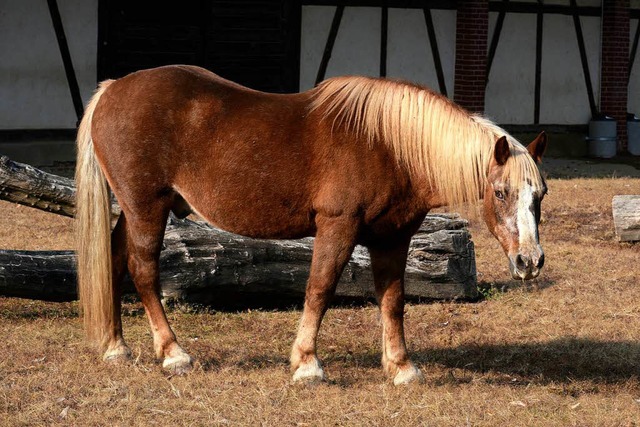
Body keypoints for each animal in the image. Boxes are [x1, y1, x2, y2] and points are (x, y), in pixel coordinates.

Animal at [75, 64, 544, 388]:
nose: (530, 261)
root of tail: (114, 88)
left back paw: (116, 347)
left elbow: (392, 301)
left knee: (113, 261)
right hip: (146, 209)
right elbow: (319, 289)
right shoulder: (338, 228)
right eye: (500, 192)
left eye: (539, 195)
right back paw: (173, 353)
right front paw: (307, 364)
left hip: (132, 212)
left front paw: (401, 367)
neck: (388, 144)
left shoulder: (392, 239)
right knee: (143, 271)